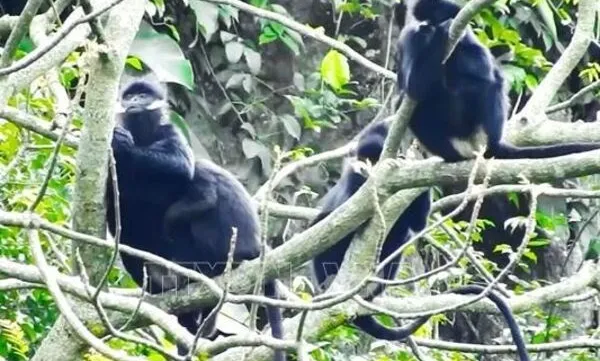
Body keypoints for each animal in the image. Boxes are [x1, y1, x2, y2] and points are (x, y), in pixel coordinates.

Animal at [310, 121, 528, 360]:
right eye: (365, 160)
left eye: (376, 160)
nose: (367, 170)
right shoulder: (353, 184)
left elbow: (417, 223)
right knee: (323, 223)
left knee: (401, 233)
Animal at [394, 0, 600, 162]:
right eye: (426, 21)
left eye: (433, 19)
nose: (425, 27)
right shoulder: (413, 39)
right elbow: (414, 87)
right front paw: (440, 32)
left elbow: (486, 72)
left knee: (489, 84)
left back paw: (493, 147)